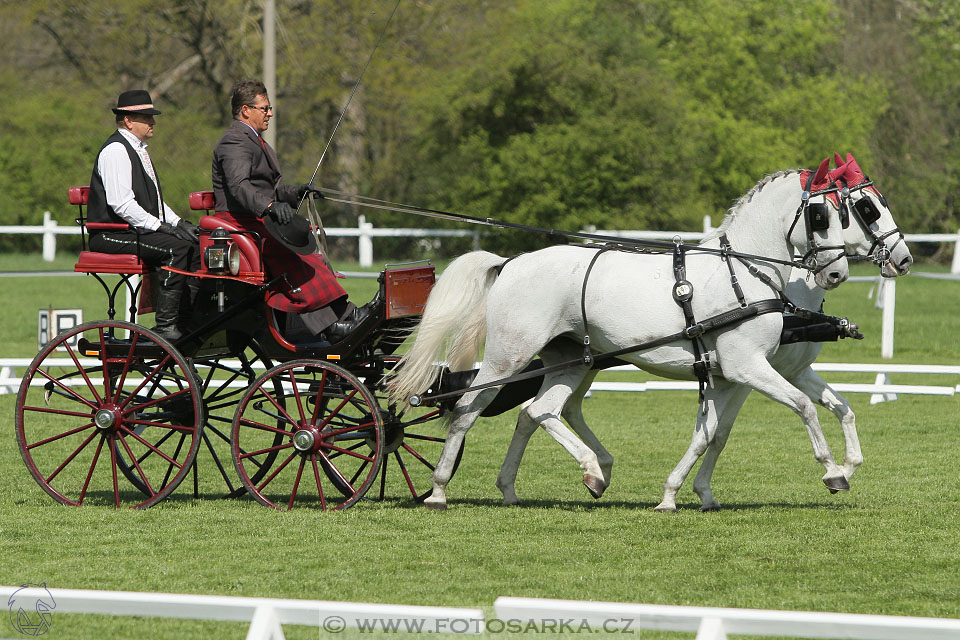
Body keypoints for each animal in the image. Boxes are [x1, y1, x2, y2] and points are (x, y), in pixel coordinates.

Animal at [392, 161, 856, 510]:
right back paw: (439, 490)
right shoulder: (748, 367)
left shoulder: (729, 375)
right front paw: (833, 472)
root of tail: (510, 262)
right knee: (467, 410)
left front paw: (680, 495)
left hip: (566, 362)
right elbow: (804, 407)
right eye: (821, 215)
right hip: (509, 356)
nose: (837, 273)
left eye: (847, 214)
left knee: (539, 411)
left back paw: (552, 480)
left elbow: (712, 434)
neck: (742, 270)